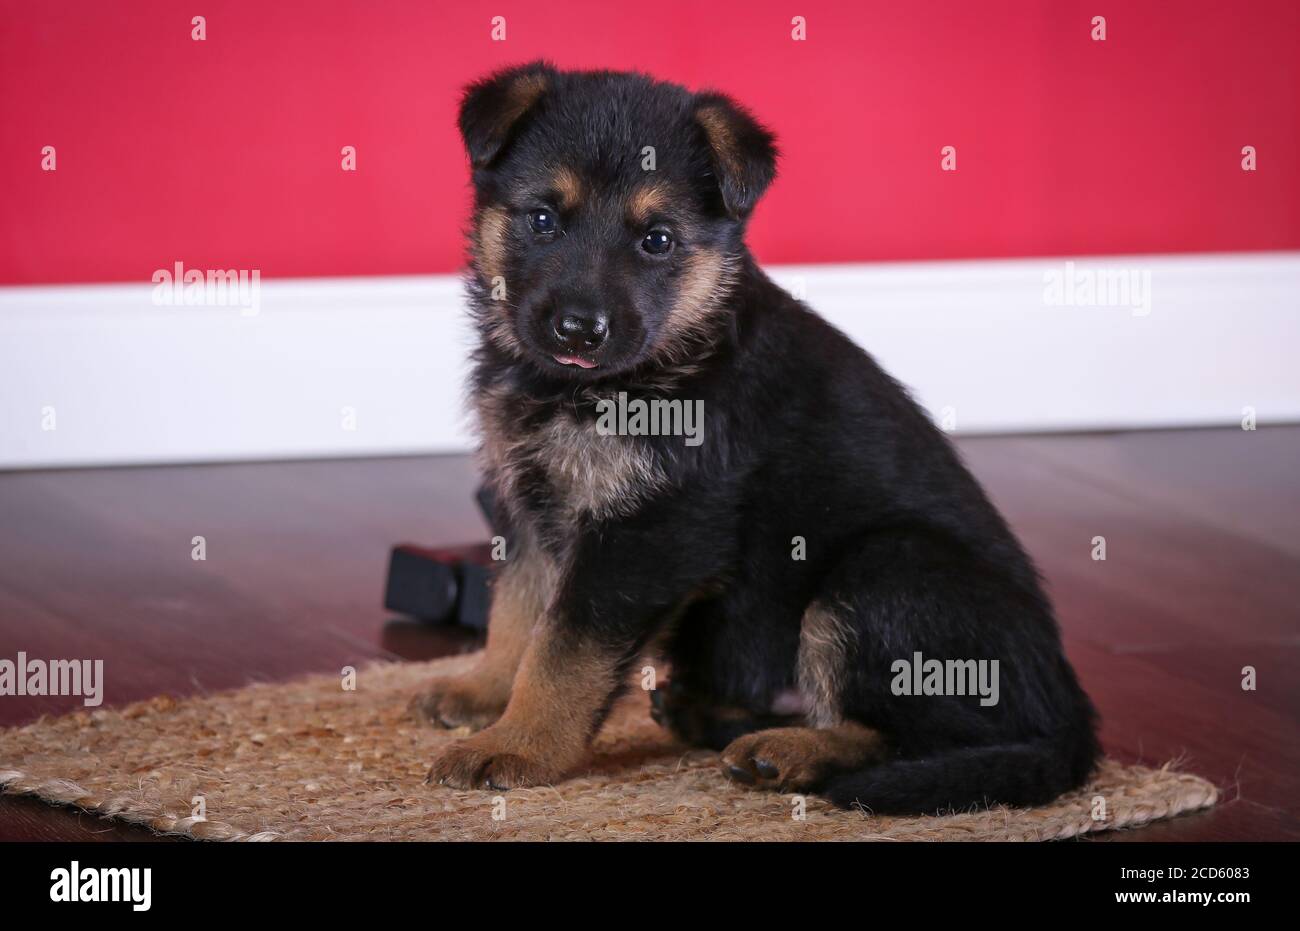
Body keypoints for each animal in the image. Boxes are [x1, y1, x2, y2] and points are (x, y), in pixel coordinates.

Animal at [418, 61, 1097, 811]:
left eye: (657, 239)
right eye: (541, 219)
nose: (578, 331)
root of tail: (1072, 717)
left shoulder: (651, 528)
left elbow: (565, 647)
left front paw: (518, 743)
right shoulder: (534, 501)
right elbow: (518, 608)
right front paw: (485, 691)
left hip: (884, 572)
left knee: (922, 737)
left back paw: (790, 751)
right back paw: (710, 714)